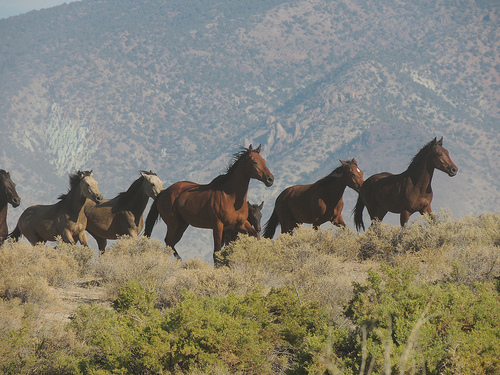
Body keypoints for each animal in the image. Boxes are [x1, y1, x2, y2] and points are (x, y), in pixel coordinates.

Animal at [145, 145, 276, 262]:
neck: (231, 197)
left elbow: (256, 237)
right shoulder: (218, 226)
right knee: (168, 242)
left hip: (182, 225)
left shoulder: (241, 225)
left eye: (264, 161)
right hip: (173, 224)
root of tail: (164, 192)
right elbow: (216, 253)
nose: (270, 179)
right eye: (254, 162)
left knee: (170, 243)